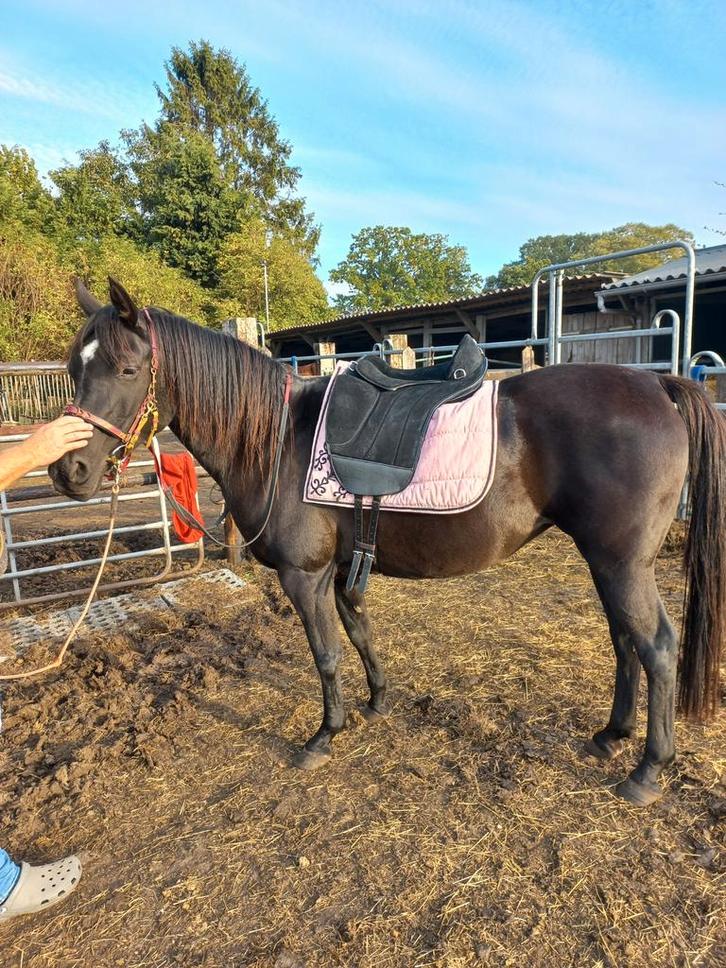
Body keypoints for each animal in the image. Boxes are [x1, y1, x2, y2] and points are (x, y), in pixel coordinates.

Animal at [51, 278, 726, 807]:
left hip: (622, 564)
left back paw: (647, 770)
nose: (68, 472)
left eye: (128, 369)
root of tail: (659, 386)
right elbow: (359, 632)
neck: (277, 439)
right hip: (606, 562)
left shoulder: (304, 576)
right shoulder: (341, 568)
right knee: (624, 642)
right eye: (73, 370)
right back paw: (612, 736)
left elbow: (325, 654)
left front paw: (325, 734)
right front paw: (376, 702)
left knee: (656, 646)